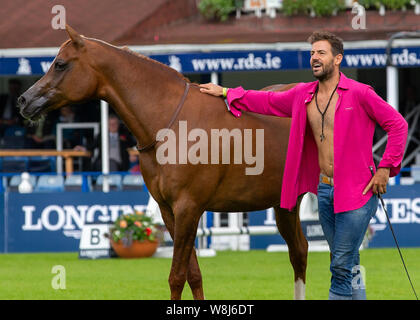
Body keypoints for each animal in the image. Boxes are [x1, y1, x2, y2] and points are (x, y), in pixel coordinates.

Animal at [18, 25, 306, 300]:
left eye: (60, 64)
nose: (24, 100)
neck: (172, 124)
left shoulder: (188, 208)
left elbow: (177, 276)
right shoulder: (169, 210)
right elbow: (193, 275)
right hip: (285, 206)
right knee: (299, 251)